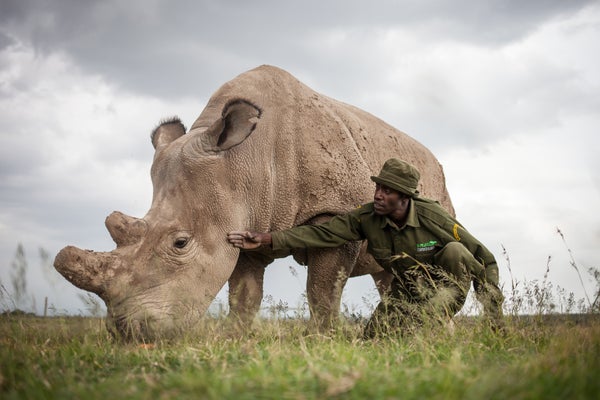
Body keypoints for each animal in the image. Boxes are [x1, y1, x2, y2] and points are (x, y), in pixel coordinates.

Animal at [54, 64, 452, 340]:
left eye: (180, 243)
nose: (129, 332)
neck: (245, 158)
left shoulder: (336, 210)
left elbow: (323, 290)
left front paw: (323, 340)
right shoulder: (244, 217)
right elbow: (244, 295)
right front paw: (235, 340)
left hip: (437, 183)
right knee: (389, 274)